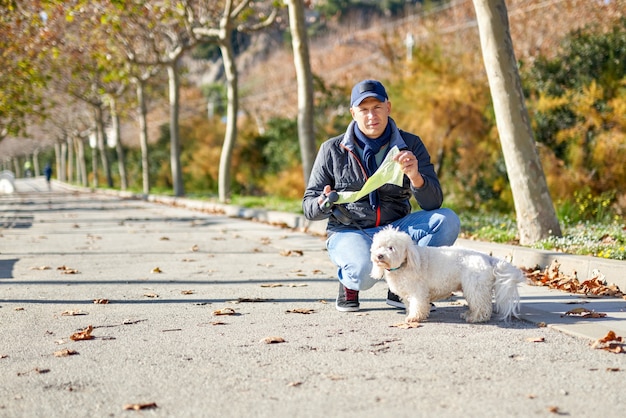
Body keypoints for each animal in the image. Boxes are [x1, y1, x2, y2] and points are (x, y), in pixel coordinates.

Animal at [370, 229, 520, 324]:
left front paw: (414, 317)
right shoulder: (408, 293)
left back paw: (476, 318)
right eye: (379, 246)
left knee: (482, 306)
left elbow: (417, 305)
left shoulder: (418, 292)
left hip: (475, 288)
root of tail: (488, 258)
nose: (379, 256)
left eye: (391, 248)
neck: (406, 262)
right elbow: (410, 304)